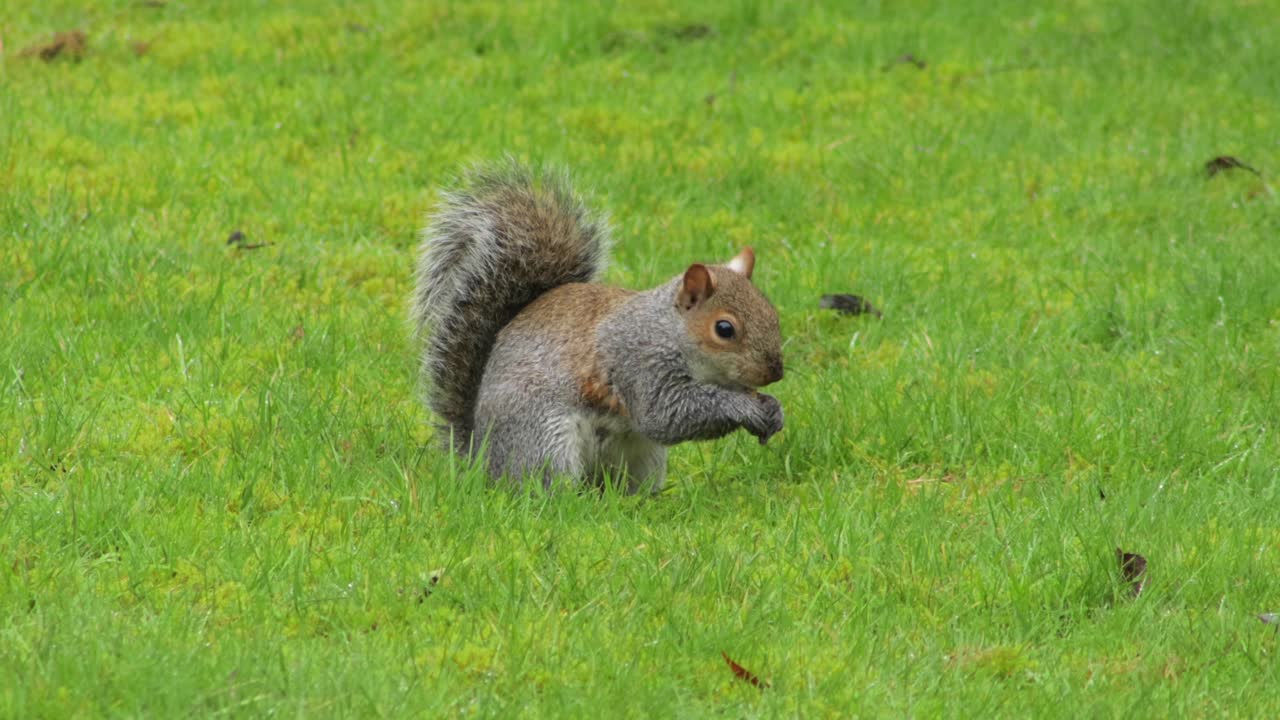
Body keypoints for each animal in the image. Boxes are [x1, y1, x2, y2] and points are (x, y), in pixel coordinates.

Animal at [412, 159, 784, 493]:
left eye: (773, 313)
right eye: (724, 329)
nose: (776, 372)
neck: (667, 330)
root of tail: (484, 460)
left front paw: (773, 409)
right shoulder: (638, 362)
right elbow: (665, 414)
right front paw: (744, 407)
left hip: (642, 458)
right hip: (545, 440)